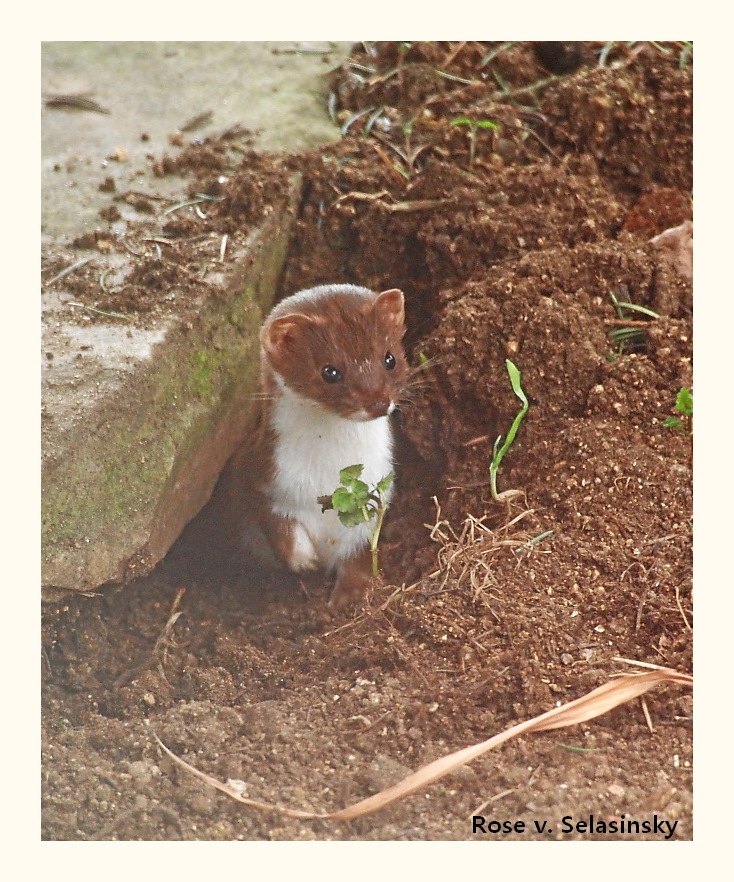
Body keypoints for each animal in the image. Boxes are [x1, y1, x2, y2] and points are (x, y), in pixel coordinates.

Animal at [226, 284, 408, 604]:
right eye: (330, 371)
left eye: (390, 358)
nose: (377, 402)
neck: (327, 470)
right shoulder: (262, 476)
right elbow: (278, 522)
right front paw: (302, 558)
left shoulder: (376, 497)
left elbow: (361, 553)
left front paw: (350, 594)